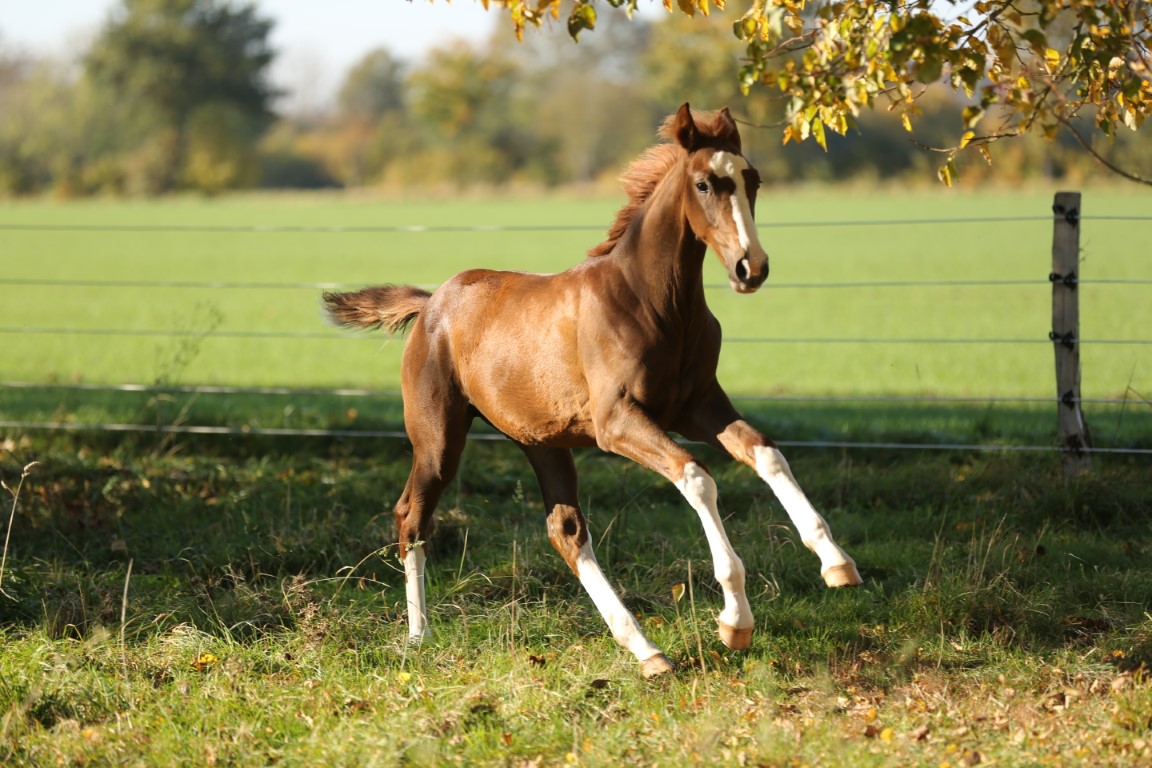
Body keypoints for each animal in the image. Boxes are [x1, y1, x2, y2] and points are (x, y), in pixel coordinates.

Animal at [323, 104, 861, 677]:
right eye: (703, 184)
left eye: (751, 179)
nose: (750, 267)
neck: (655, 304)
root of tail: (430, 306)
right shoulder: (616, 421)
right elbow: (697, 477)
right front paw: (735, 621)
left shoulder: (699, 406)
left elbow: (765, 452)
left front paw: (837, 564)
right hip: (438, 439)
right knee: (413, 517)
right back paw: (419, 634)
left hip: (544, 443)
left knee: (565, 530)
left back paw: (645, 649)